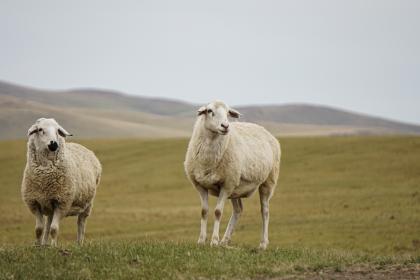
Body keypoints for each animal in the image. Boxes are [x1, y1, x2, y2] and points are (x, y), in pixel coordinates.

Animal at [22, 117, 101, 245]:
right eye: (40, 129)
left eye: (57, 131)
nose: (54, 144)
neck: (44, 176)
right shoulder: (34, 203)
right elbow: (39, 229)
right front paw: (38, 246)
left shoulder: (62, 203)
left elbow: (54, 229)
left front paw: (54, 246)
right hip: (49, 204)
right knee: (48, 224)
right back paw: (44, 244)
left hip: (87, 204)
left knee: (81, 224)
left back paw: (79, 243)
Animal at [185, 100, 280, 249]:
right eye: (210, 111)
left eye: (228, 113)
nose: (225, 126)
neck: (208, 161)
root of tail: (265, 130)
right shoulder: (200, 186)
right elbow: (204, 211)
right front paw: (201, 240)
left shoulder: (226, 185)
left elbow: (218, 212)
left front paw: (214, 241)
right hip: (236, 186)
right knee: (238, 210)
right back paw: (225, 240)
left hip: (267, 181)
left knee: (265, 211)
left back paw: (263, 244)